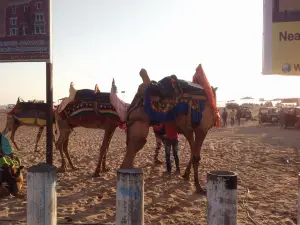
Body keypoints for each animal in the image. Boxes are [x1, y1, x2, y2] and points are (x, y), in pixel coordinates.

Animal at [119, 64, 220, 193]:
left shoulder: (190, 129)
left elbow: (193, 152)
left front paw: (186, 175)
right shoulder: (201, 129)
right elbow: (196, 156)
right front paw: (199, 187)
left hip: (135, 124)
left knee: (132, 149)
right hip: (140, 123)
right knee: (133, 149)